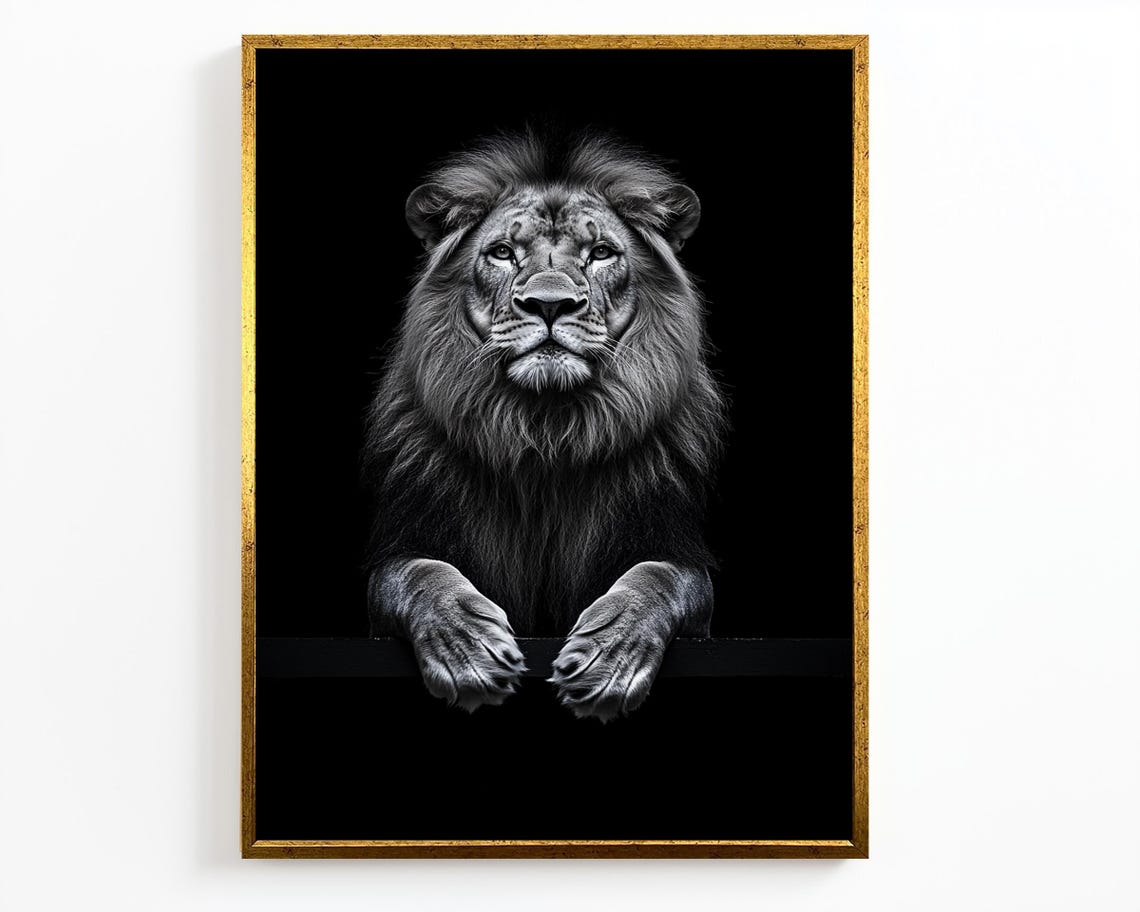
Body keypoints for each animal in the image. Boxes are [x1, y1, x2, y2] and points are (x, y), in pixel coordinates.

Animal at [365, 128, 727, 721]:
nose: (550, 304)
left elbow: (656, 580)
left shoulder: (673, 549)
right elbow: (422, 575)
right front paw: (467, 645)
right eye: (503, 252)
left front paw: (611, 654)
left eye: (600, 253)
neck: (546, 431)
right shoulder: (403, 547)